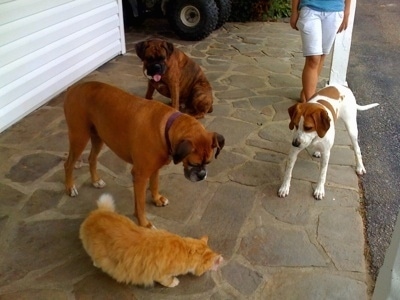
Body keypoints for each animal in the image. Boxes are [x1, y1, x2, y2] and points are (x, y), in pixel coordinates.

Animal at [64, 81, 223, 227]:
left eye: (208, 162)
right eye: (193, 163)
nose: (202, 175)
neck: (166, 128)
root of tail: (73, 87)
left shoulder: (155, 168)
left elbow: (154, 184)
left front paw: (157, 199)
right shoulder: (140, 176)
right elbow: (140, 204)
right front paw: (144, 223)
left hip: (98, 137)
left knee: (92, 158)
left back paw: (95, 180)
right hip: (79, 137)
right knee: (68, 164)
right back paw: (70, 188)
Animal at [78, 193, 222, 288]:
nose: (220, 263)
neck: (185, 249)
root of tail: (97, 213)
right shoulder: (161, 274)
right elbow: (167, 281)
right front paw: (174, 282)